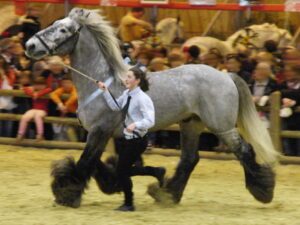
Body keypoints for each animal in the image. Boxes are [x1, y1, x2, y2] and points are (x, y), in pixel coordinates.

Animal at [24, 8, 278, 209]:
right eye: (55, 24)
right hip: (191, 124)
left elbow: (86, 162)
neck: (103, 82)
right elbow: (99, 163)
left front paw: (67, 194)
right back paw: (166, 194)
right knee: (190, 158)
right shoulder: (108, 134)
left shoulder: (100, 130)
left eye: (63, 30)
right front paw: (110, 183)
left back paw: (263, 191)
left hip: (221, 126)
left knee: (244, 151)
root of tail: (227, 75)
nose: (30, 45)